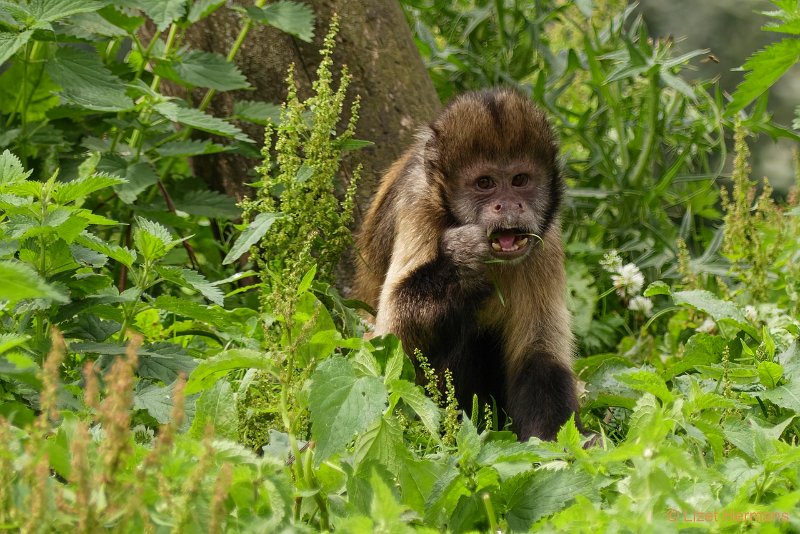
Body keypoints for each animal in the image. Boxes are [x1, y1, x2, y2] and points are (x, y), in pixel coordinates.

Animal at [356, 87, 580, 440]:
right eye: (485, 183)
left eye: (520, 180)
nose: (509, 205)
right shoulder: (418, 204)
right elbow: (392, 345)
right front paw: (462, 260)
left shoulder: (547, 236)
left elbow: (540, 354)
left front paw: (552, 445)